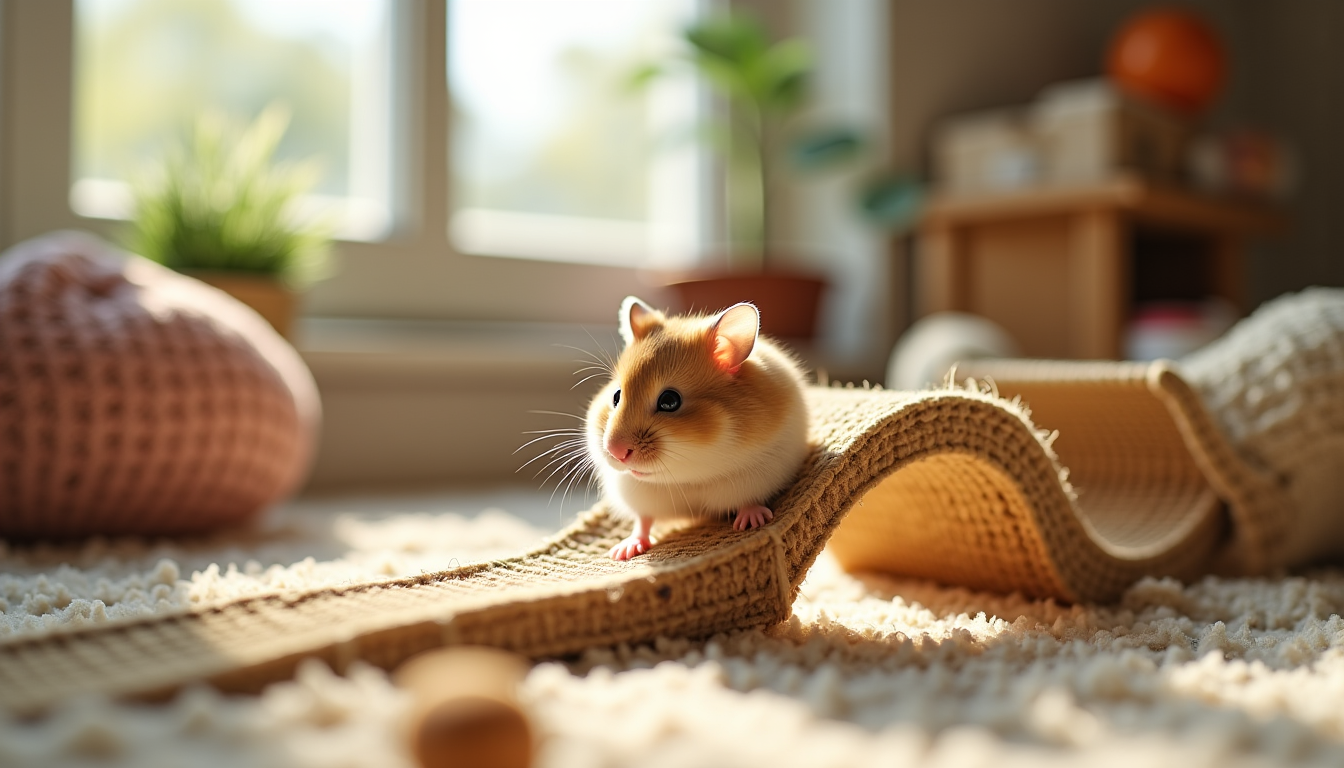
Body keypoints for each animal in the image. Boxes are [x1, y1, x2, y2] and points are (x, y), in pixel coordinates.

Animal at [587, 296, 810, 561]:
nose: (616, 452)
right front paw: (622, 553)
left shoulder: (759, 475)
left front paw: (753, 523)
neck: (687, 476)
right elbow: (643, 520)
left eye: (669, 401)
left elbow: (750, 500)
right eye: (616, 396)